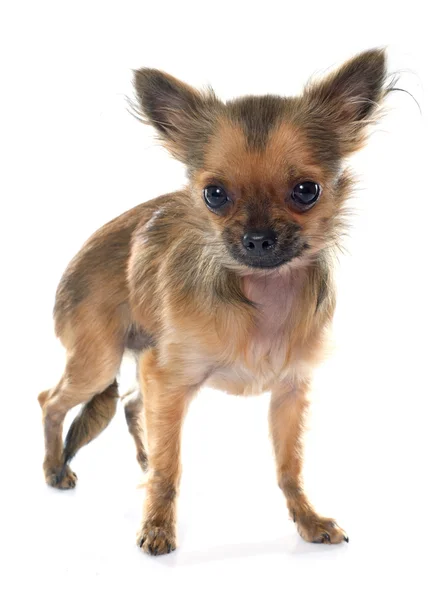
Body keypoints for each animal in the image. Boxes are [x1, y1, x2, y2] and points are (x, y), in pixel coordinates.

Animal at [39, 49, 392, 556]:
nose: (258, 239)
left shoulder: (290, 391)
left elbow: (290, 467)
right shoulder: (168, 376)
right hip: (98, 360)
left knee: (130, 404)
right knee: (51, 400)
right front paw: (157, 526)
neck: (261, 293)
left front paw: (307, 520)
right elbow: (171, 467)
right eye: (215, 195)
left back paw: (142, 456)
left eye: (306, 191)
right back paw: (55, 468)